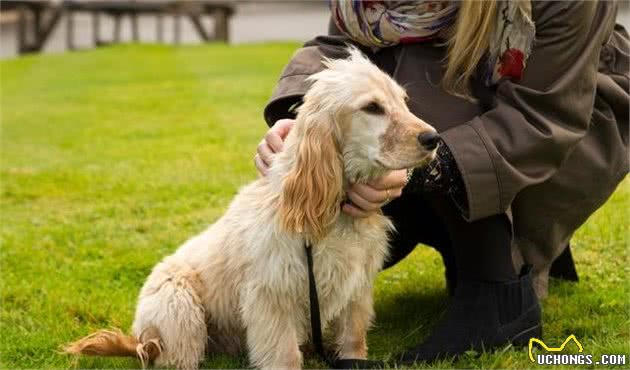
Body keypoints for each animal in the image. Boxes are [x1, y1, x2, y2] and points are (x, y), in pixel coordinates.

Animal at [65, 47, 440, 368]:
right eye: (372, 107)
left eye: (403, 101)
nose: (433, 139)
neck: (332, 209)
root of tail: (141, 338)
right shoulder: (272, 297)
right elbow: (285, 355)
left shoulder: (355, 290)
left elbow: (353, 343)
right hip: (179, 311)